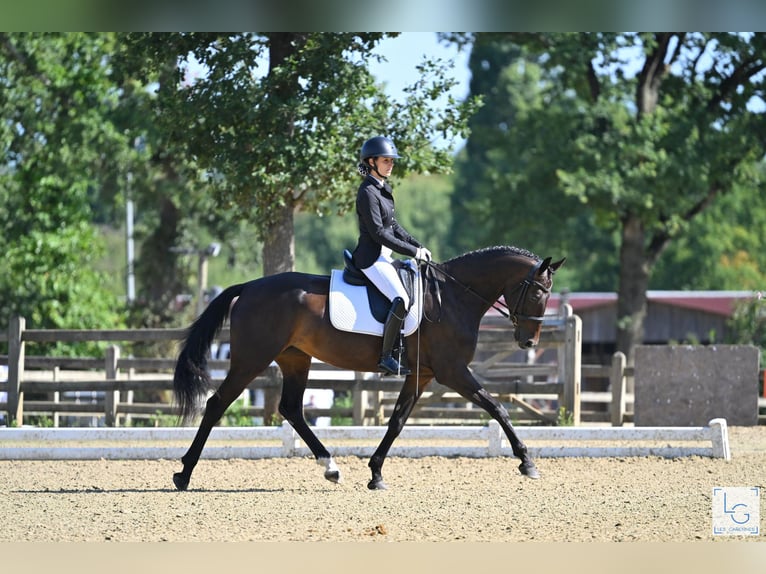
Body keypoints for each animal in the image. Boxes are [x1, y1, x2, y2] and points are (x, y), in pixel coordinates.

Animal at [171, 245, 565, 491]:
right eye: (538, 293)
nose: (528, 343)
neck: (454, 297)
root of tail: (250, 286)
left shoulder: (423, 374)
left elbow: (398, 421)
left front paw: (375, 473)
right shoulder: (453, 372)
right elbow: (496, 406)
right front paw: (527, 462)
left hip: (295, 358)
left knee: (292, 409)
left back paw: (331, 467)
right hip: (252, 358)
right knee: (217, 404)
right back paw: (183, 473)